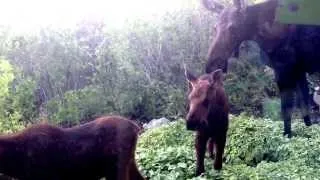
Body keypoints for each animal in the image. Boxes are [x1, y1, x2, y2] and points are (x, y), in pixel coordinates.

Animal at [202, 0, 320, 138]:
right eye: (215, 28)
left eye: (233, 28)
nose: (212, 64)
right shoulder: (298, 70)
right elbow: (305, 110)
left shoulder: (284, 69)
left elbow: (286, 109)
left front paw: (287, 136)